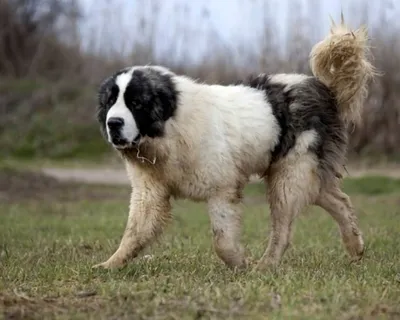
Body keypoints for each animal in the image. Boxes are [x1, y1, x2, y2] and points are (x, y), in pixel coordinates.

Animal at [93, 15, 376, 270]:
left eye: (136, 103)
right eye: (110, 102)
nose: (113, 123)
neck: (172, 127)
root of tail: (323, 89)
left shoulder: (222, 190)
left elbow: (222, 241)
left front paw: (241, 264)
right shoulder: (149, 192)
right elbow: (134, 233)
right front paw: (109, 265)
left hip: (289, 176)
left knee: (283, 229)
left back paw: (265, 265)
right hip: (303, 174)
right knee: (339, 201)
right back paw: (355, 248)